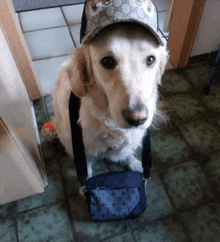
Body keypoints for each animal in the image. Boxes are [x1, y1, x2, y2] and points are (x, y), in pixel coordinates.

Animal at [53, 19, 168, 178]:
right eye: (107, 61)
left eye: (151, 59)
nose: (137, 119)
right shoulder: (82, 150)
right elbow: (86, 168)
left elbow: (127, 152)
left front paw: (134, 163)